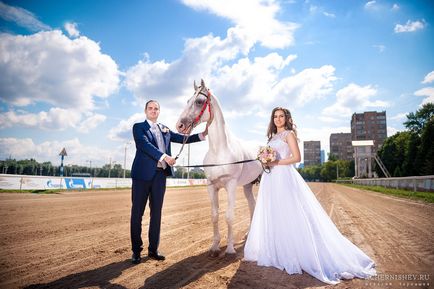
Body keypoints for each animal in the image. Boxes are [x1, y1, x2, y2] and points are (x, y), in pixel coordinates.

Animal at [175, 78, 262, 254]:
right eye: (187, 100)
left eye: (199, 101)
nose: (179, 125)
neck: (219, 151)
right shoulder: (211, 186)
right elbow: (214, 215)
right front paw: (215, 246)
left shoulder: (231, 185)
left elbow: (229, 216)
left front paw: (229, 248)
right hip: (248, 186)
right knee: (253, 204)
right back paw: (249, 234)